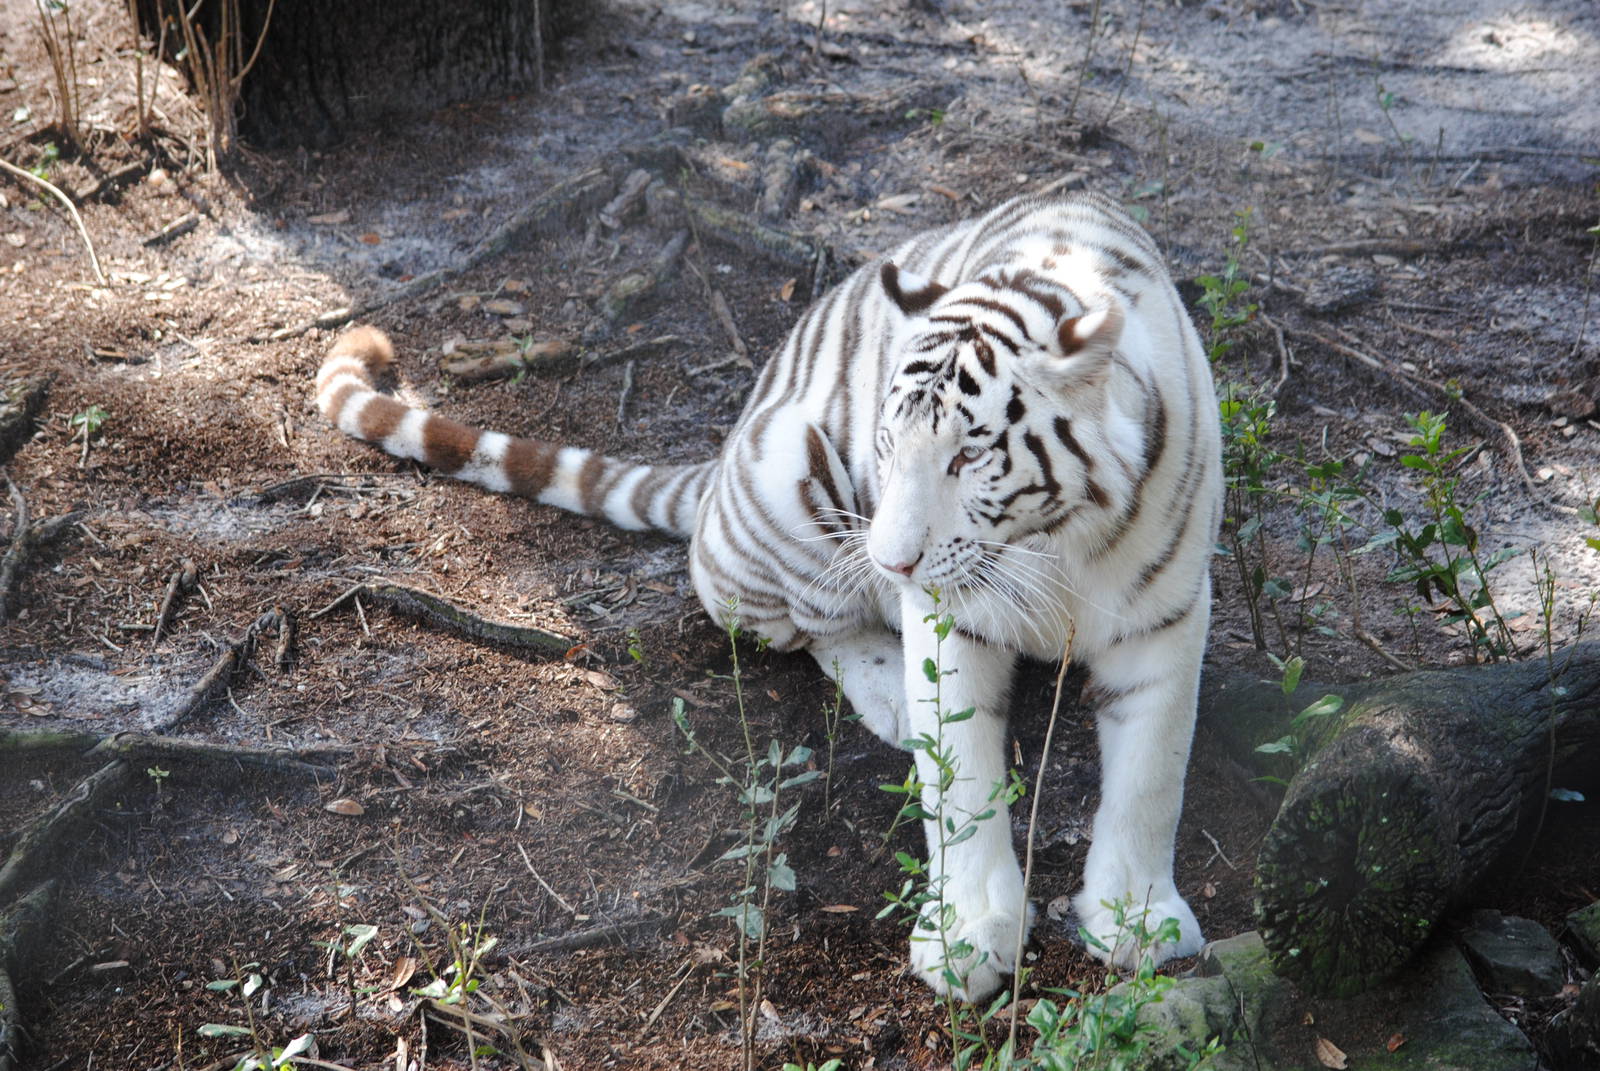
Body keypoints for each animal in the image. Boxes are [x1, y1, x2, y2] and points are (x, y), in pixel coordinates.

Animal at [315, 190, 1223, 1000]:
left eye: (968, 455)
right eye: (888, 442)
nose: (893, 563)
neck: (1052, 541)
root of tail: (721, 460)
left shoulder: (1168, 616)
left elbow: (1152, 780)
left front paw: (1138, 920)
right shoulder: (952, 619)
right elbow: (960, 782)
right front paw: (966, 939)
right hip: (792, 479)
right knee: (811, 631)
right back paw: (893, 695)